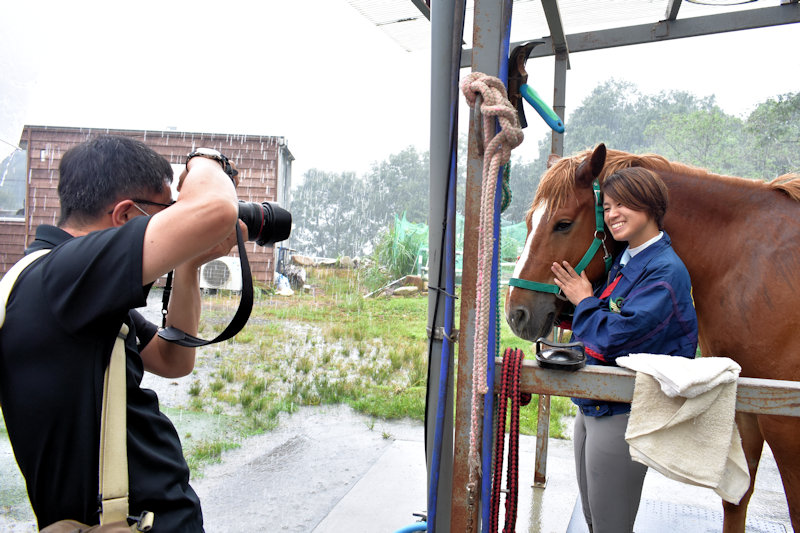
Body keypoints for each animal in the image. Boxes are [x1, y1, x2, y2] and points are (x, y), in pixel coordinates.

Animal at [506, 143, 800, 528]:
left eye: (563, 223)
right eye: (528, 222)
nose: (516, 313)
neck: (746, 260)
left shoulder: (784, 423)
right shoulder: (748, 406)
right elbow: (736, 500)